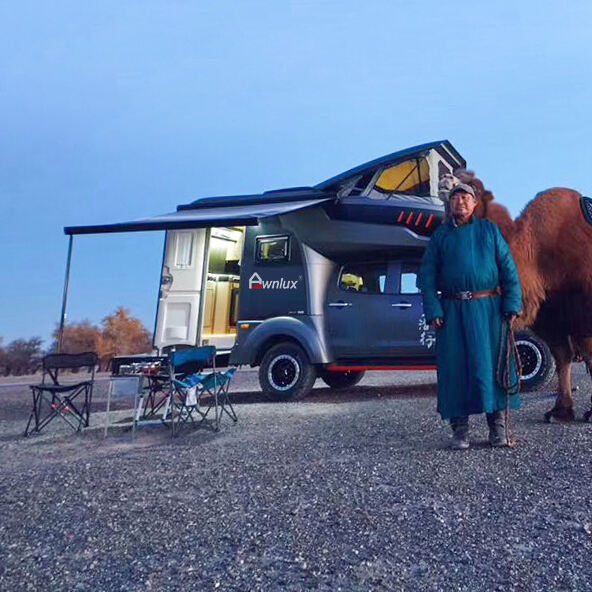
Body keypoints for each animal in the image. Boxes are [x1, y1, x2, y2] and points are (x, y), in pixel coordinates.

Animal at [444, 173, 592, 424]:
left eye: (473, 187)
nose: (446, 179)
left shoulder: (583, 308)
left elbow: (588, 355)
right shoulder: (549, 316)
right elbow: (563, 356)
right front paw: (560, 411)